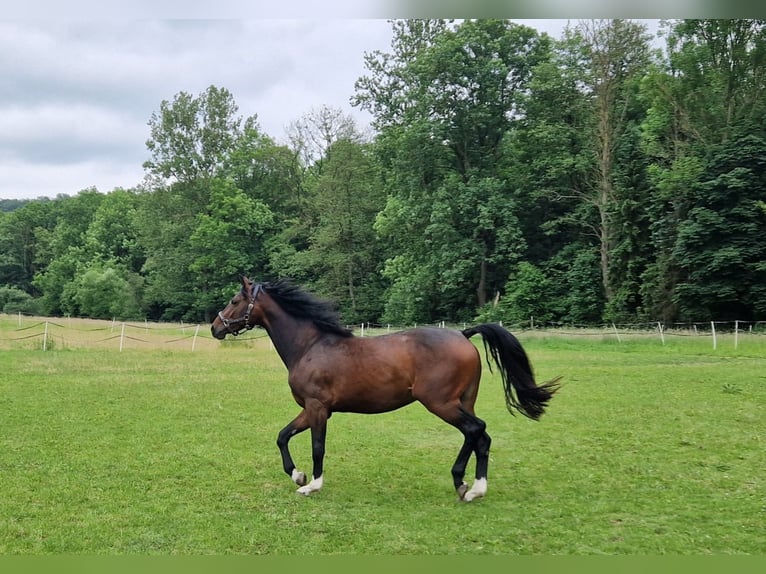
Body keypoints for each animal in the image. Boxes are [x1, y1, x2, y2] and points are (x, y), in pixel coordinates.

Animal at [213, 276, 560, 502]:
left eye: (234, 301)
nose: (216, 327)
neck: (310, 345)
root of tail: (462, 334)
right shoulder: (311, 409)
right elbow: (283, 436)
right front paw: (297, 475)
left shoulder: (318, 408)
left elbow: (317, 447)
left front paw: (311, 485)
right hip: (463, 401)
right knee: (480, 437)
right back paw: (471, 487)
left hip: (441, 403)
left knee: (476, 430)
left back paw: (467, 485)